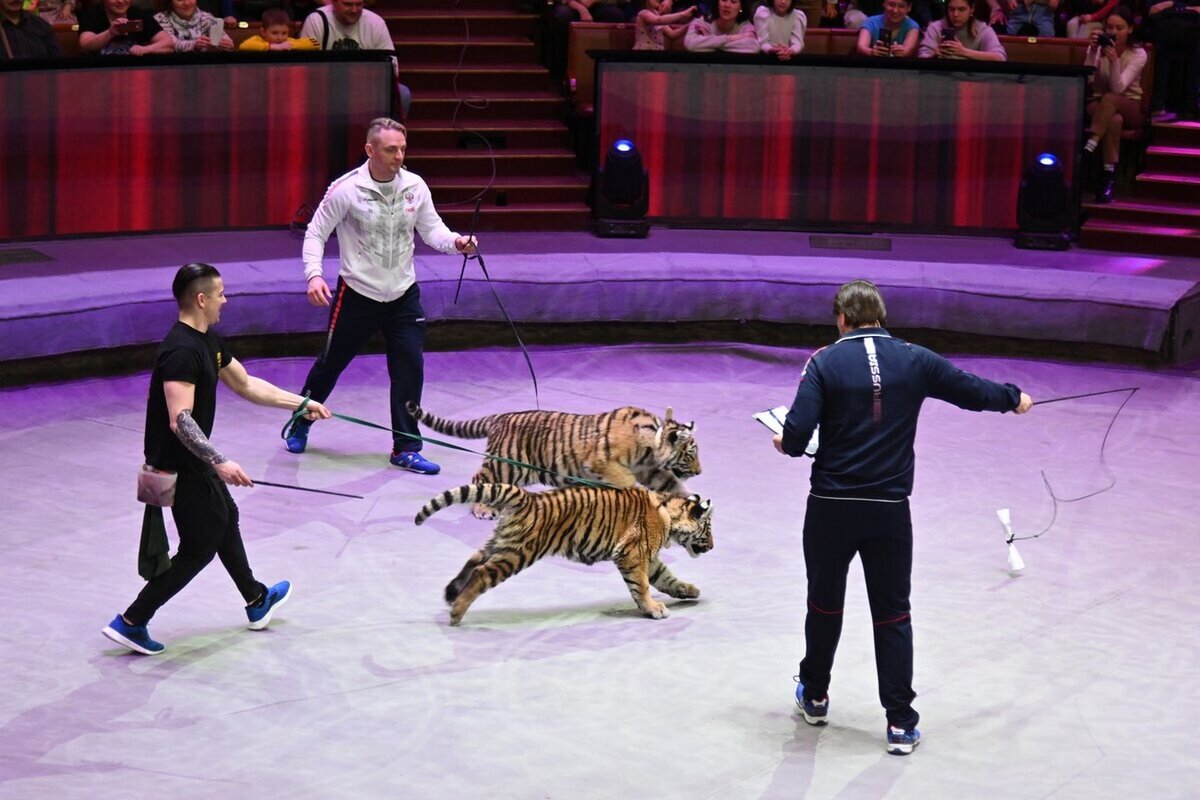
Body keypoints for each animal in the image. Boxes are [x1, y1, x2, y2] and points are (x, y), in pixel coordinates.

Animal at [405, 402, 700, 522]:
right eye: (691, 454)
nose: (699, 471)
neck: (651, 445)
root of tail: (501, 416)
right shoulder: (606, 465)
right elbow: (630, 485)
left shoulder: (652, 470)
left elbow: (673, 485)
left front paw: (691, 498)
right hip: (508, 464)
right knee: (480, 478)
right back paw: (483, 509)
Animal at [415, 482, 710, 623]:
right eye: (708, 529)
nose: (712, 546)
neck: (669, 514)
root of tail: (527, 498)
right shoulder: (633, 554)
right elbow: (643, 586)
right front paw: (653, 609)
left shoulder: (648, 558)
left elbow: (666, 578)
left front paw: (689, 590)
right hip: (518, 553)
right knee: (481, 573)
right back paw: (457, 612)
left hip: (501, 542)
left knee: (473, 559)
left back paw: (451, 594)